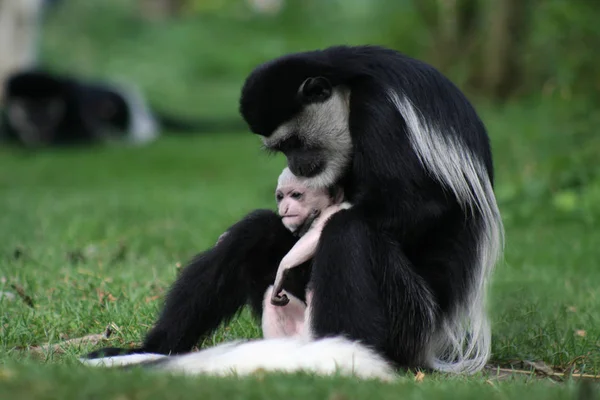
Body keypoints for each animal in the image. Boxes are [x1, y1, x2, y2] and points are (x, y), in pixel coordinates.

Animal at [82, 45, 504, 380]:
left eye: (295, 142)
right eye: (282, 149)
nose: (297, 165)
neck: (349, 85)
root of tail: (436, 340)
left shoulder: (382, 113)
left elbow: (421, 205)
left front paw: (304, 243)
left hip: (411, 317)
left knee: (349, 229)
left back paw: (346, 354)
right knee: (256, 231)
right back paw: (149, 349)